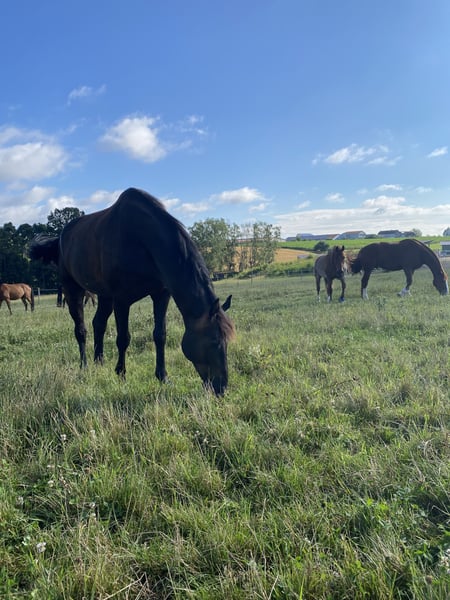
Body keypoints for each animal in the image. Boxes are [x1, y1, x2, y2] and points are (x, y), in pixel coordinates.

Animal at [28, 187, 234, 395]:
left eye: (227, 341)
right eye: (213, 342)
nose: (221, 388)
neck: (142, 239)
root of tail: (60, 239)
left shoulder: (161, 295)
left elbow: (160, 335)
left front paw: (163, 376)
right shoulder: (122, 300)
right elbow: (123, 338)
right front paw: (121, 375)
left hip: (104, 296)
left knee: (98, 324)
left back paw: (99, 362)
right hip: (73, 290)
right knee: (81, 329)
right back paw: (84, 365)